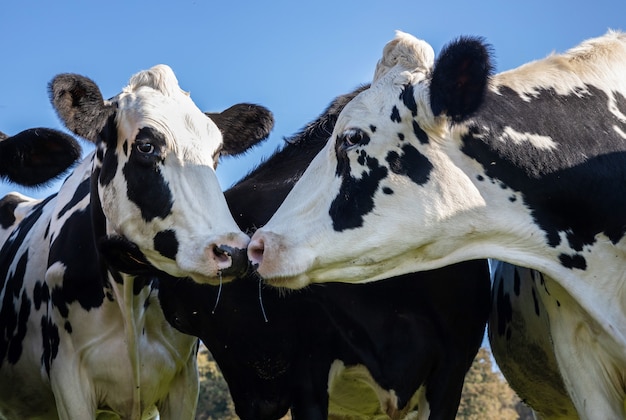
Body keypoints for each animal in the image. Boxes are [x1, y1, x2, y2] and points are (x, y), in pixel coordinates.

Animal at [0, 64, 272, 418]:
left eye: (216, 154)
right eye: (146, 146)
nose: (232, 251)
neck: (130, 290)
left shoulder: (185, 381)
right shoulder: (69, 379)